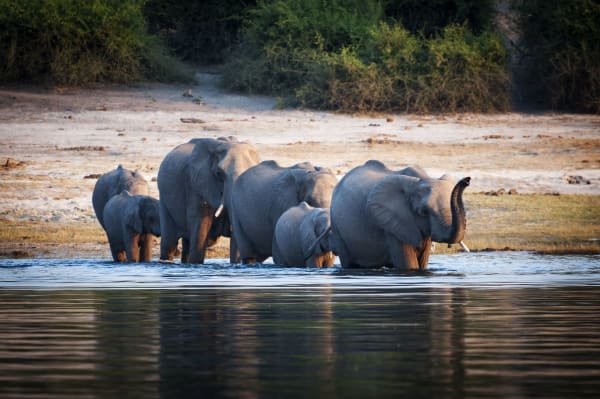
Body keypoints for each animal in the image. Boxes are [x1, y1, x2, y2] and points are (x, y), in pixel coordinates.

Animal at [328, 161, 468, 270]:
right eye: (423, 212)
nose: (467, 180)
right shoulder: (392, 226)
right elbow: (410, 266)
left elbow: (423, 263)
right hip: (336, 227)